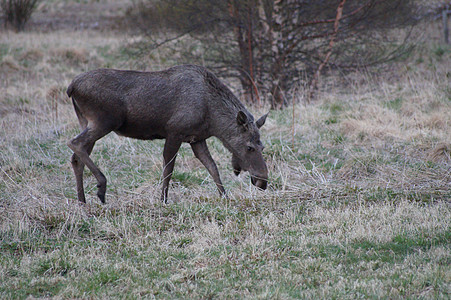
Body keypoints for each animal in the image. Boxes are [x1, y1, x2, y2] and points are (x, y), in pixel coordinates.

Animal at [66, 64, 268, 203]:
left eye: (262, 146)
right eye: (249, 147)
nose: (263, 182)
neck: (212, 120)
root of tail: (71, 88)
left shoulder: (197, 139)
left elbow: (212, 167)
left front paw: (224, 196)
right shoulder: (174, 132)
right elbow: (169, 169)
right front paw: (163, 199)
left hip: (86, 121)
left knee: (76, 157)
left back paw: (82, 200)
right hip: (104, 120)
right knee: (75, 143)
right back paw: (101, 186)